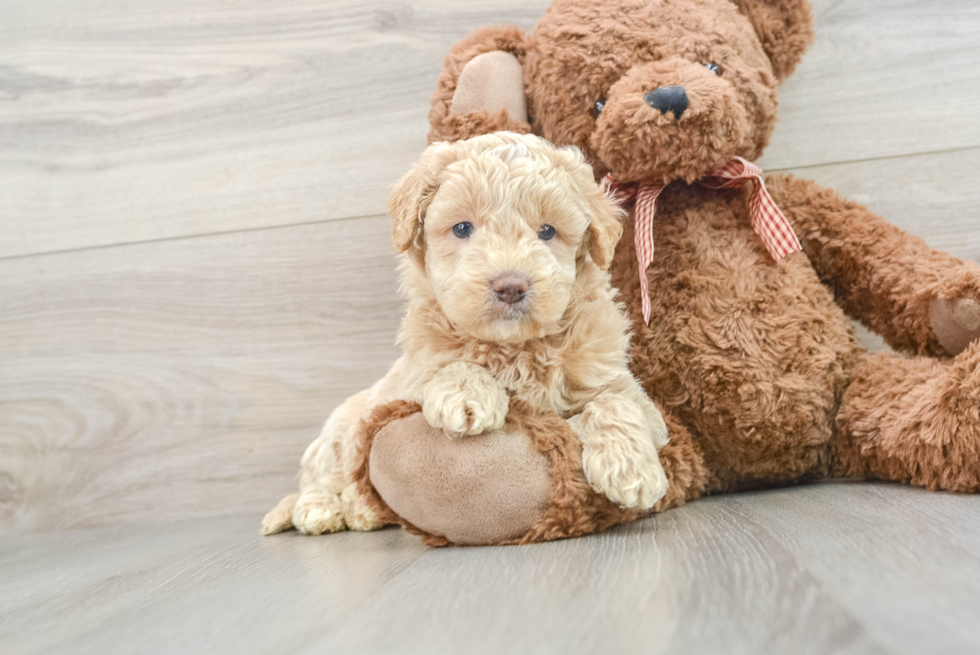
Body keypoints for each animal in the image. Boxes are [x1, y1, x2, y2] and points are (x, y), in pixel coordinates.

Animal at [264, 132, 668, 540]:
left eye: (547, 231)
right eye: (462, 228)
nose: (511, 286)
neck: (514, 348)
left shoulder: (622, 386)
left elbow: (616, 402)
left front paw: (630, 467)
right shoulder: (412, 382)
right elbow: (449, 363)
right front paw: (467, 394)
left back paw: (364, 512)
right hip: (340, 433)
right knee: (319, 478)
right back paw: (322, 510)